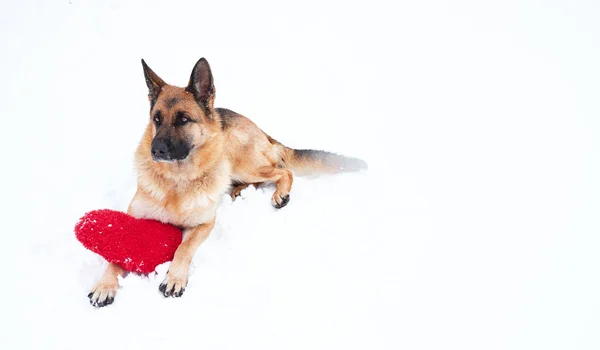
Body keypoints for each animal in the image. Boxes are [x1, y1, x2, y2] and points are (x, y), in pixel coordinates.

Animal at [87, 56, 368, 306]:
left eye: (183, 119)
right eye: (157, 119)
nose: (155, 150)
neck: (177, 181)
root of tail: (261, 130)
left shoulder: (203, 224)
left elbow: (183, 249)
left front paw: (174, 278)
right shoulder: (134, 220)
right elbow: (115, 257)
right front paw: (105, 285)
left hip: (240, 160)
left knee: (282, 171)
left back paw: (279, 194)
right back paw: (239, 191)